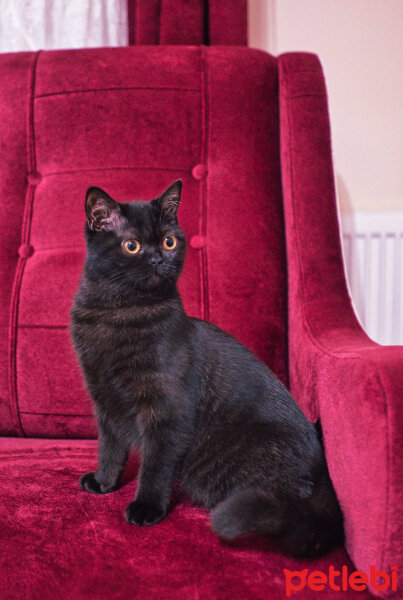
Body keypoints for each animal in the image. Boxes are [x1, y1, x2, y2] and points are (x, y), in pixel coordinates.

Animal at [70, 179, 344, 556]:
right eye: (131, 245)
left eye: (169, 241)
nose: (158, 257)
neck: (118, 313)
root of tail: (320, 473)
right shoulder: (105, 399)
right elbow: (109, 447)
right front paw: (104, 482)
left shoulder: (166, 409)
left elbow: (155, 463)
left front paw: (147, 508)